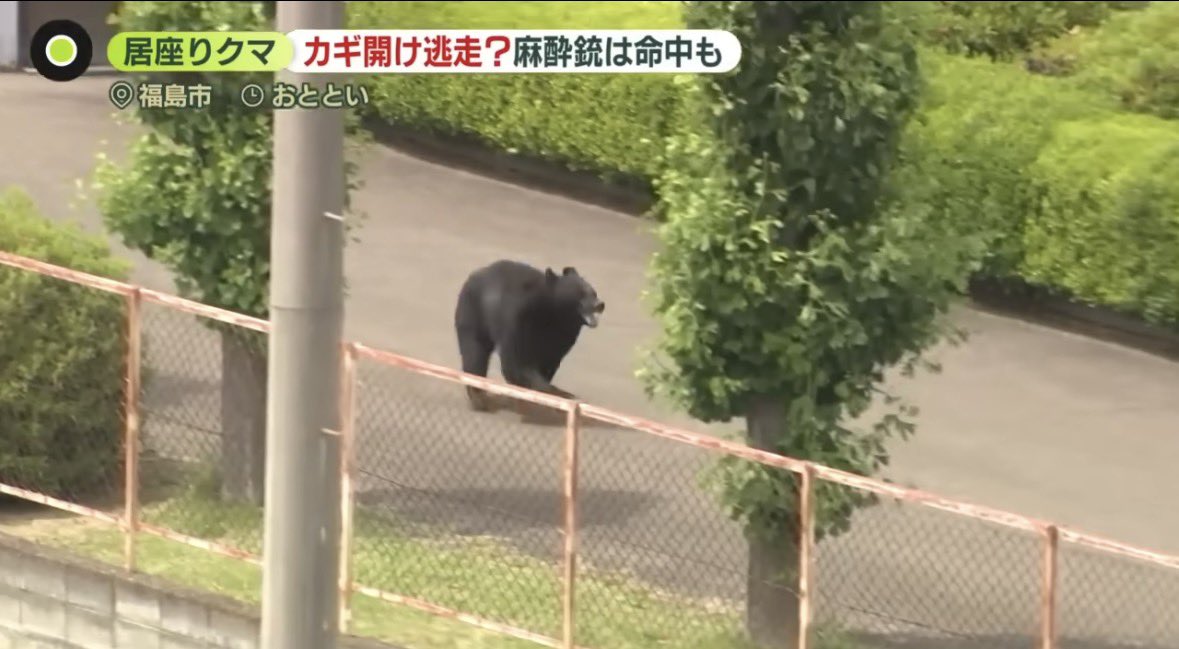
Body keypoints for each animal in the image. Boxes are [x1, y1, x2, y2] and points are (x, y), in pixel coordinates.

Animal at [453, 259, 605, 412]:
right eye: (580, 293)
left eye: (593, 292)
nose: (600, 304)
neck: (554, 312)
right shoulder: (519, 317)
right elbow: (516, 361)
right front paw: (557, 393)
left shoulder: (563, 336)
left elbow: (549, 360)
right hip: (473, 312)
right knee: (474, 351)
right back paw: (479, 398)